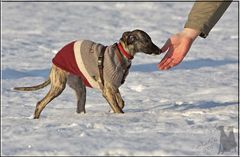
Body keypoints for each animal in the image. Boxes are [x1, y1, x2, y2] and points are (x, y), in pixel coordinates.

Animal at [14, 29, 161, 118]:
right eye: (147, 41)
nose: (160, 50)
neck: (121, 54)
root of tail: (54, 62)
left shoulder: (113, 86)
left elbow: (121, 102)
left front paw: (111, 111)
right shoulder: (108, 89)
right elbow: (119, 108)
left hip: (79, 88)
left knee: (80, 107)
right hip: (59, 85)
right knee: (40, 103)